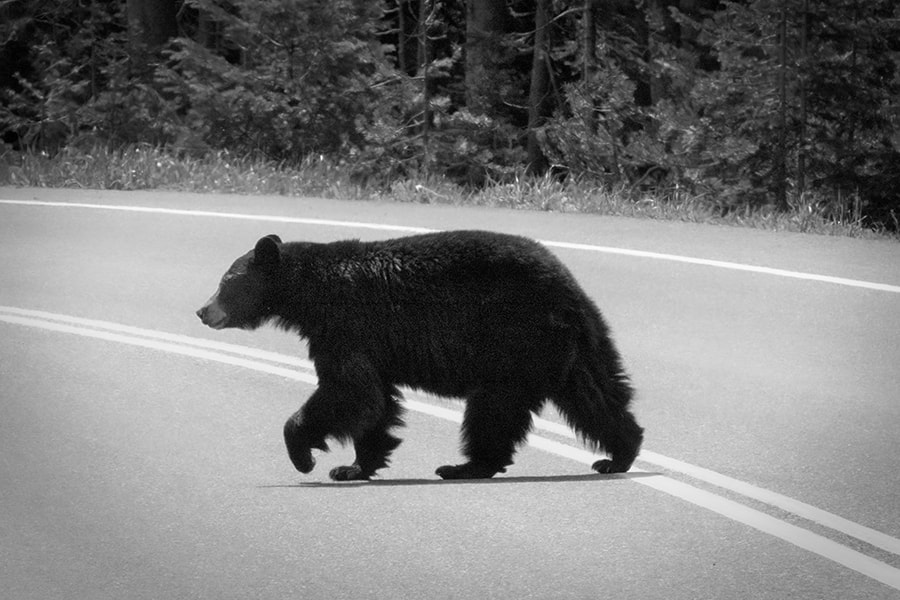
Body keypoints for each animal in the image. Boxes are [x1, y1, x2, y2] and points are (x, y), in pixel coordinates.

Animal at [200, 232, 644, 480]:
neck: (311, 293)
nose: (203, 311)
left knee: (495, 408)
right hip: (572, 346)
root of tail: (569, 287)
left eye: (226, 281)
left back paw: (464, 467)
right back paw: (620, 453)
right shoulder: (363, 340)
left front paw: (304, 456)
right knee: (594, 394)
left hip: (515, 339)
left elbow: (348, 390)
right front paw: (354, 467)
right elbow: (374, 400)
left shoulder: (347, 323)